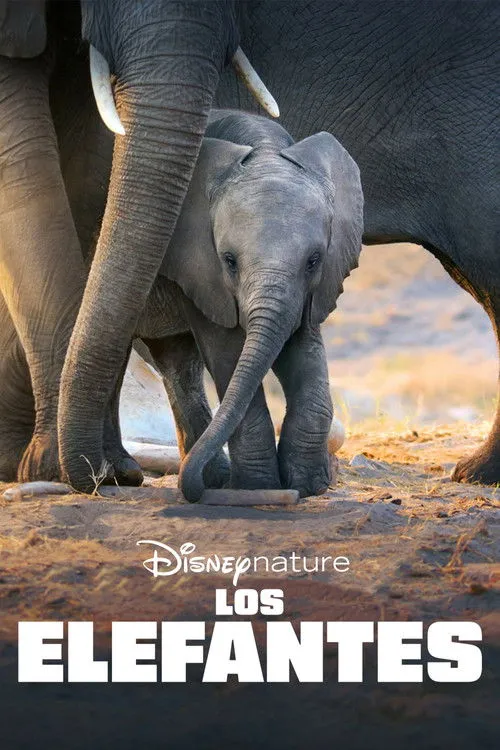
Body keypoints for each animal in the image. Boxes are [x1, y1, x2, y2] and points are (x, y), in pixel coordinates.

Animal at [0, 1, 498, 491]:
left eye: (315, 261)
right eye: (230, 261)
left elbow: (302, 346)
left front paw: (306, 483)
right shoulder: (204, 270)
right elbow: (227, 349)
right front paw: (261, 486)